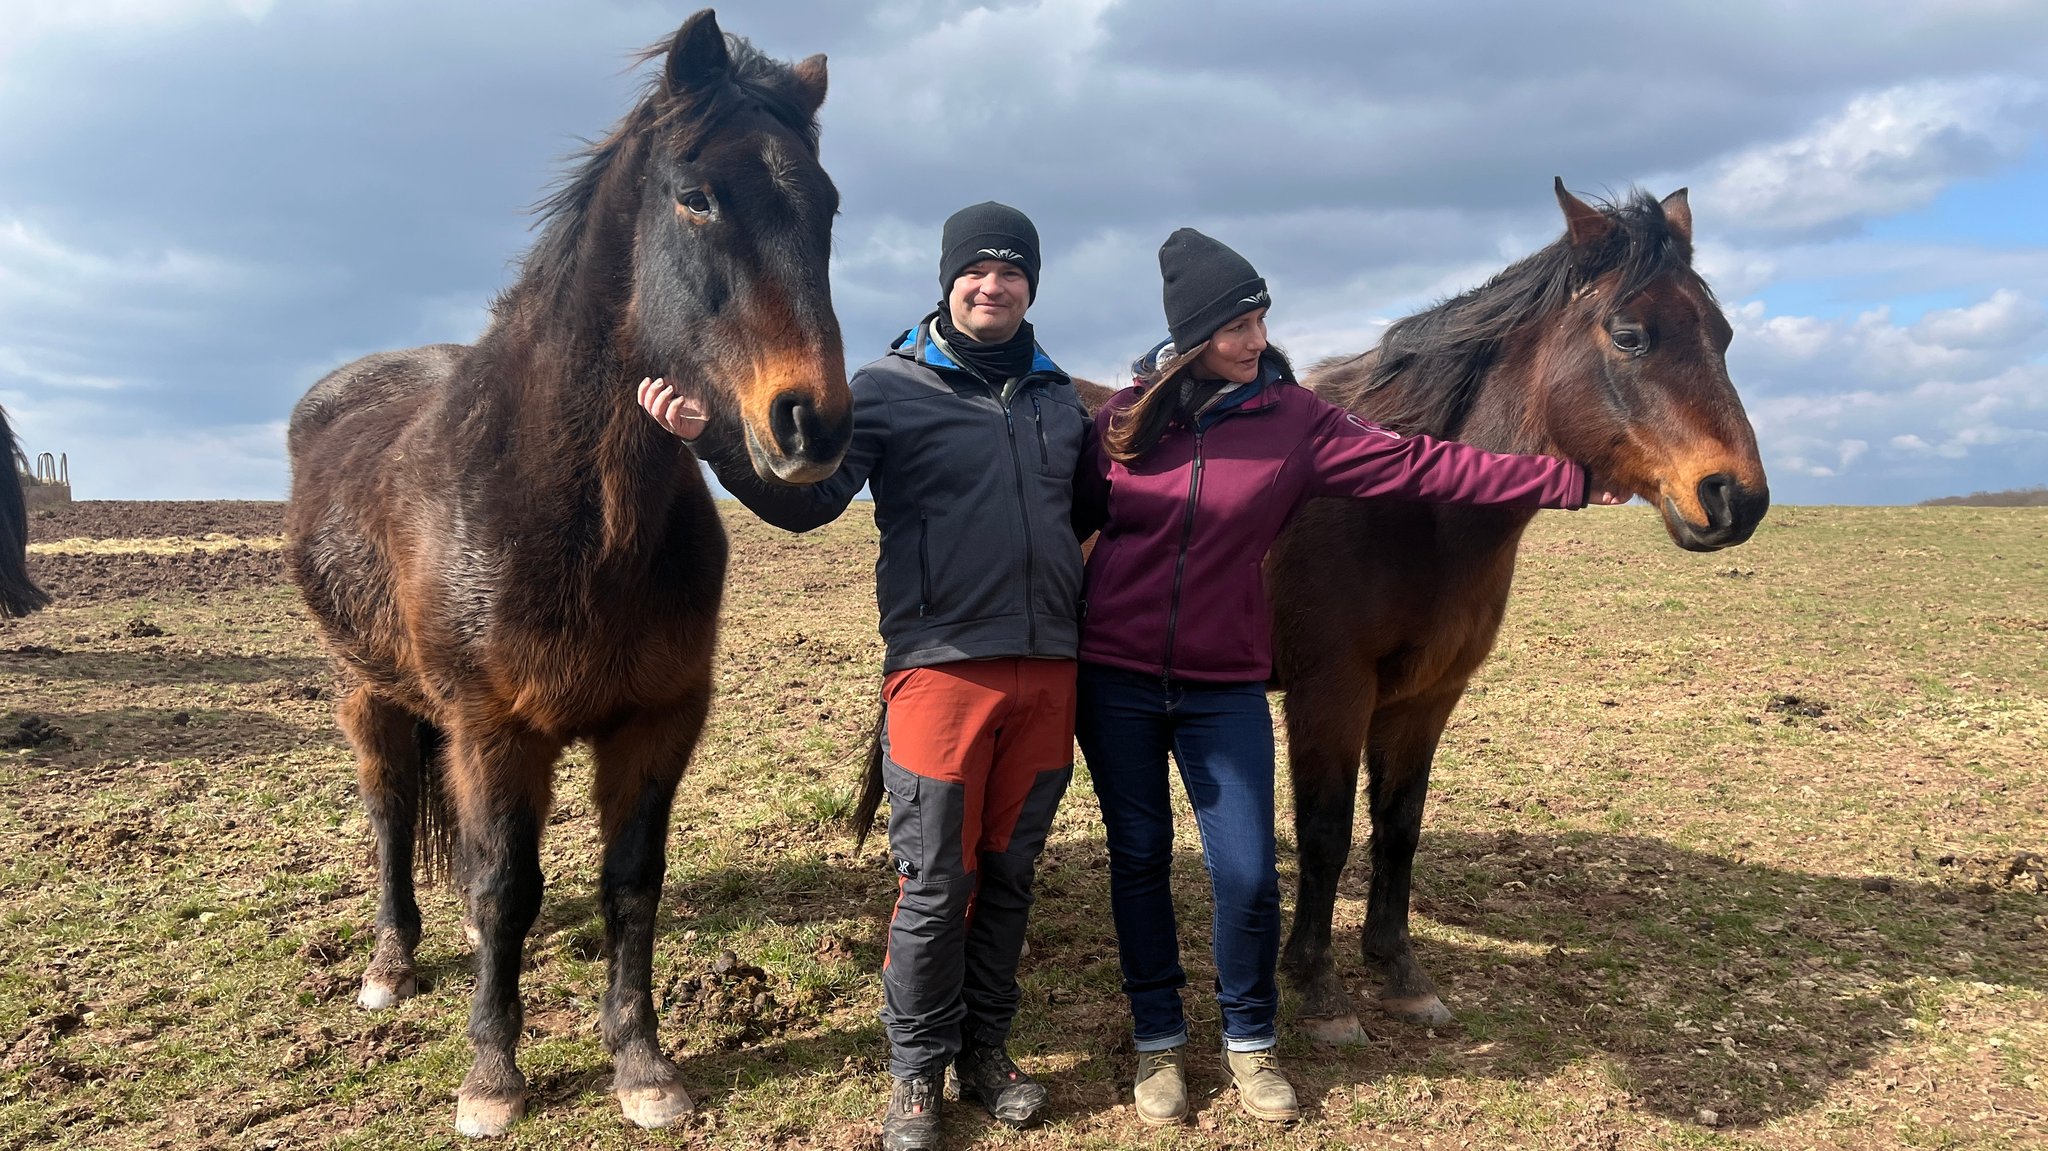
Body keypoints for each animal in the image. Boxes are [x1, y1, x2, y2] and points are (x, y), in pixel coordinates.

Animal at [284, 13, 843, 1130]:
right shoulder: (497, 729)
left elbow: (632, 879)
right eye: (696, 195)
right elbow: (508, 884)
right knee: (389, 811)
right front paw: (492, 1076)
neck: (577, 518)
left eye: (829, 205)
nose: (810, 421)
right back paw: (390, 963)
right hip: (367, 692)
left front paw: (643, 1064)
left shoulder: (658, 718)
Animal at [1269, 179, 1769, 1040]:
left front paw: (1399, 971)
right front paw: (1320, 988)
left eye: (1724, 335)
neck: (1400, 499)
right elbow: (1326, 832)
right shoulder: (1328, 691)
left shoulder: (1427, 694)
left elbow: (1398, 827)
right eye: (1630, 335)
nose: (1736, 497)